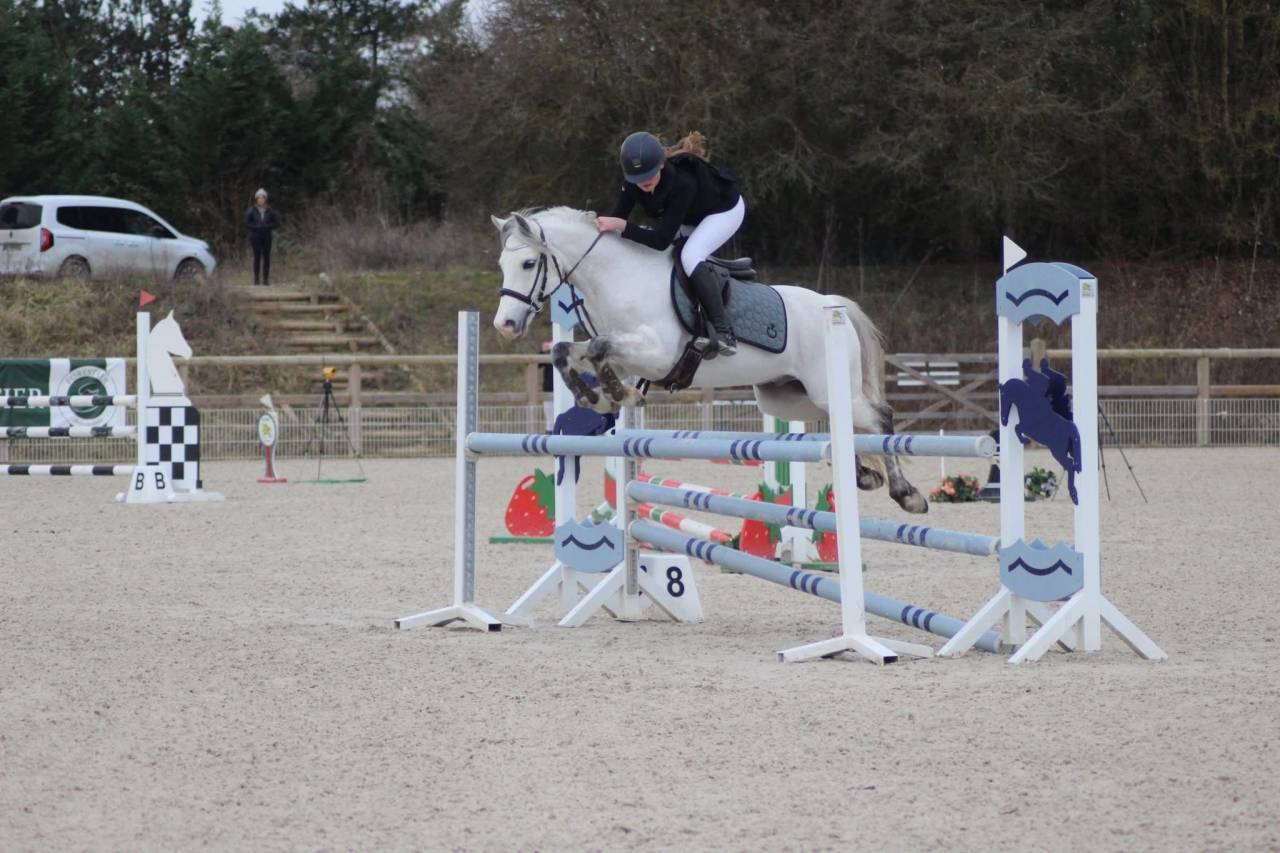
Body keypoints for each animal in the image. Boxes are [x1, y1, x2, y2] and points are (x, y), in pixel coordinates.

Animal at [490, 207, 927, 514]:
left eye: (528, 263)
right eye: (501, 266)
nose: (504, 325)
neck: (618, 277)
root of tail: (833, 304)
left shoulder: (656, 354)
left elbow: (598, 349)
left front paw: (617, 395)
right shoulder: (629, 354)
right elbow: (568, 352)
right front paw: (595, 397)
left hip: (826, 387)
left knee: (879, 417)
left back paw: (907, 495)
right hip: (787, 396)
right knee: (838, 420)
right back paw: (864, 474)